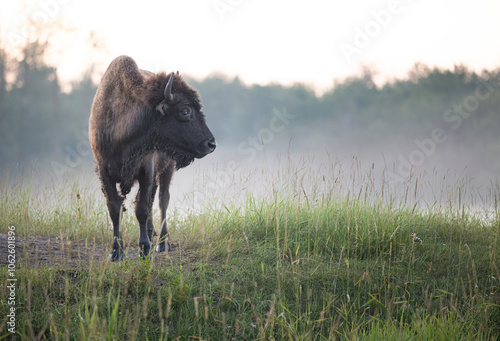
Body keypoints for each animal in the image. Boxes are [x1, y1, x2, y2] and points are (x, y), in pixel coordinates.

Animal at [90, 55, 215, 258]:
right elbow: (115, 210)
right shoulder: (104, 171)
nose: (211, 144)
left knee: (162, 199)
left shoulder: (146, 169)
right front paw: (116, 251)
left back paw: (162, 243)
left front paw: (145, 247)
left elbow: (142, 209)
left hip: (167, 168)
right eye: (185, 110)